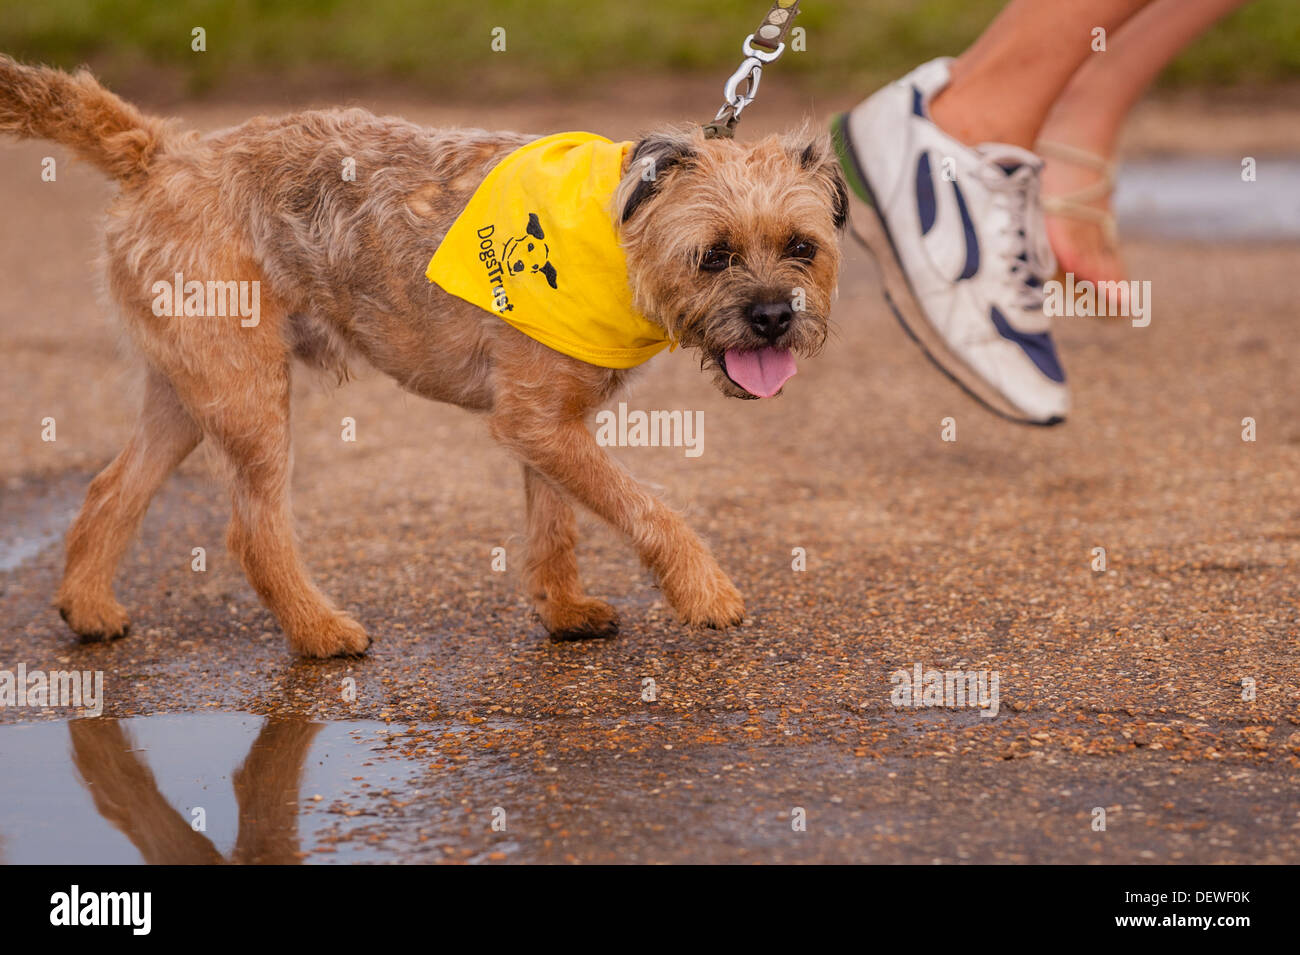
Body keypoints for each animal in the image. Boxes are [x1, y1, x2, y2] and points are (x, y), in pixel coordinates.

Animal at [0, 55, 847, 657]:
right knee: (252, 531)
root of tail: (163, 151)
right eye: (714, 255)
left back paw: (89, 606)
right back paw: (320, 632)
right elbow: (644, 504)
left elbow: (555, 523)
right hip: (249, 396)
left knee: (112, 488)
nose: (774, 317)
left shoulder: (546, 425)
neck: (614, 232)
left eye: (802, 247)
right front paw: (704, 590)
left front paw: (563, 608)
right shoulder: (540, 422)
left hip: (190, 390)